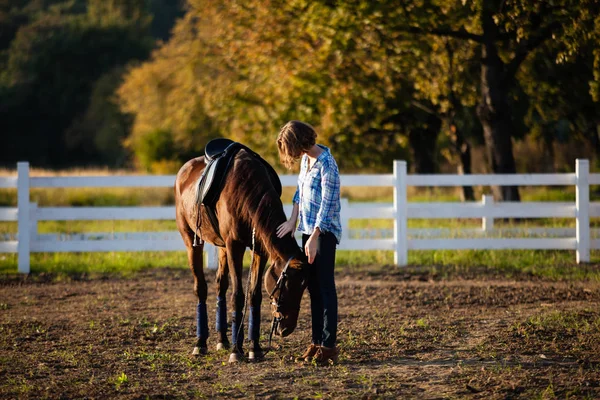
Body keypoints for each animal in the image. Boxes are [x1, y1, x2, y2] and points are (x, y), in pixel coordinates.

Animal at [172, 143, 304, 362]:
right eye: (287, 285)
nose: (287, 328)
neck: (246, 190)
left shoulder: (259, 250)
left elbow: (254, 295)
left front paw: (254, 348)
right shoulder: (235, 246)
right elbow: (238, 296)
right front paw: (236, 350)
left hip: (221, 246)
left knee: (220, 286)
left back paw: (222, 340)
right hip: (192, 241)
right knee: (201, 288)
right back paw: (201, 343)